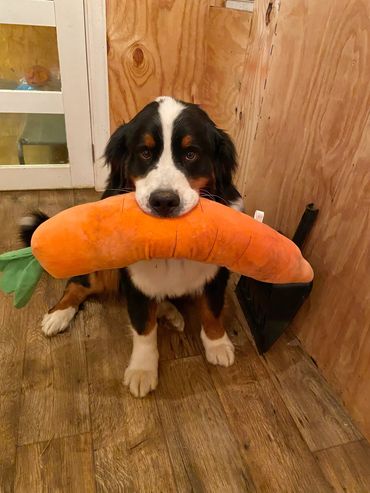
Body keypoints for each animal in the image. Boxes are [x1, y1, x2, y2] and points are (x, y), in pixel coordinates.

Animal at [21, 95, 244, 396]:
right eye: (145, 153)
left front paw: (217, 344)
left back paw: (169, 311)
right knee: (77, 284)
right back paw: (58, 315)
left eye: (191, 154)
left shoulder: (216, 273)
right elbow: (143, 329)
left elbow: (212, 310)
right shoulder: (135, 282)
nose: (164, 201)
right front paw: (142, 370)